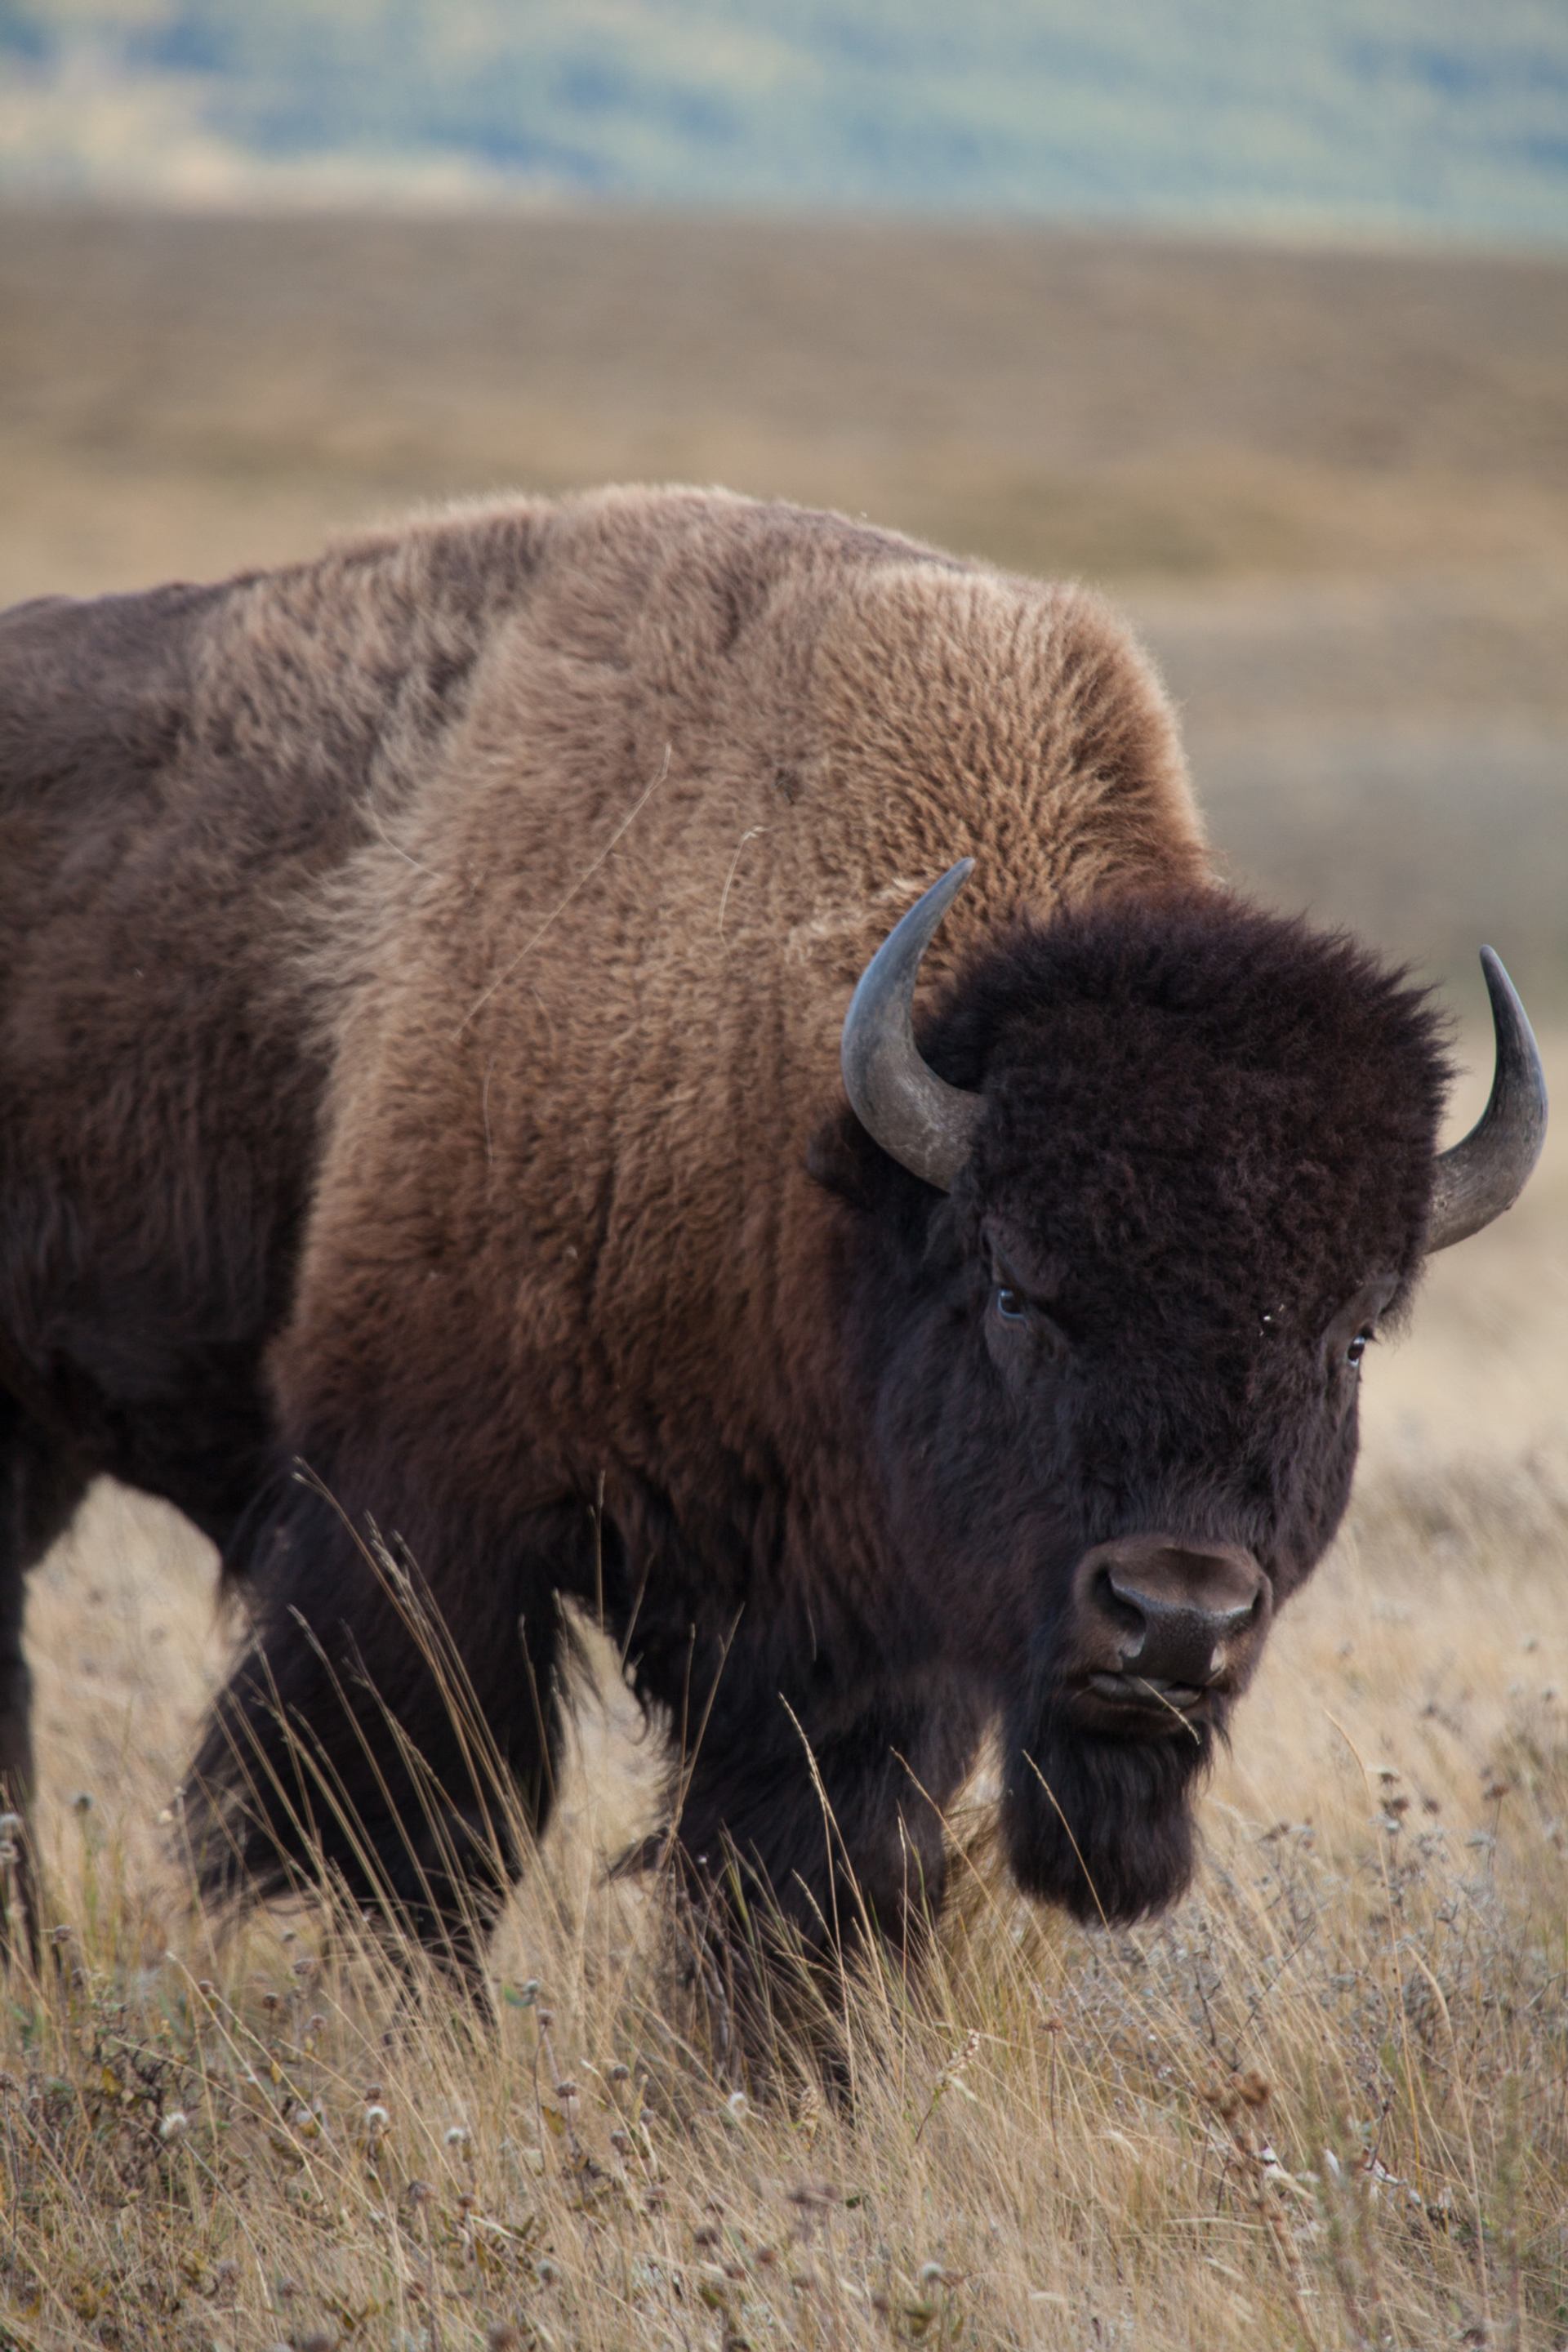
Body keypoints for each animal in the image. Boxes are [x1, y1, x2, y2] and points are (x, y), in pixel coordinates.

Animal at [0, 486, 1547, 1988]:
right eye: (1014, 1291)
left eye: (1354, 1335)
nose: (1175, 1617)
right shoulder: (428, 1527)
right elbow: (423, 1845)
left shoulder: (852, 1645)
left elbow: (799, 1880)